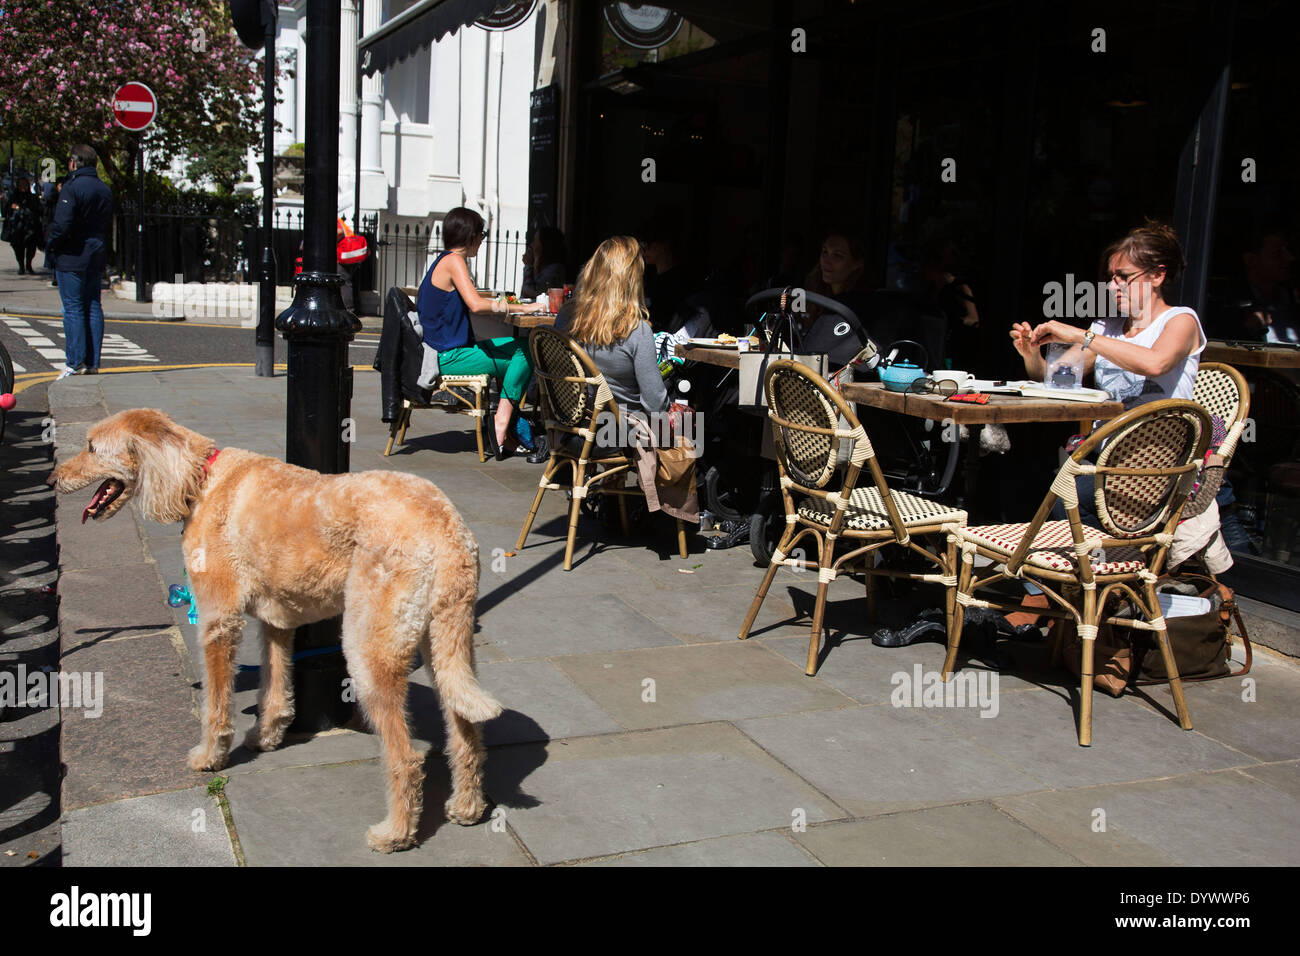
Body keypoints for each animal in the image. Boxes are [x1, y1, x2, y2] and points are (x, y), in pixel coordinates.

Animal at [47, 408, 501, 848]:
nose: (53, 479)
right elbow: (275, 687)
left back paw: (396, 833)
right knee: (466, 733)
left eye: (91, 447)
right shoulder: (276, 621)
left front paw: (210, 756)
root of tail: (447, 529)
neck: (201, 478)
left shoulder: (217, 620)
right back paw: (467, 806)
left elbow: (216, 705)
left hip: (370, 650)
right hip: (445, 645)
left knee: (405, 757)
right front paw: (265, 736)